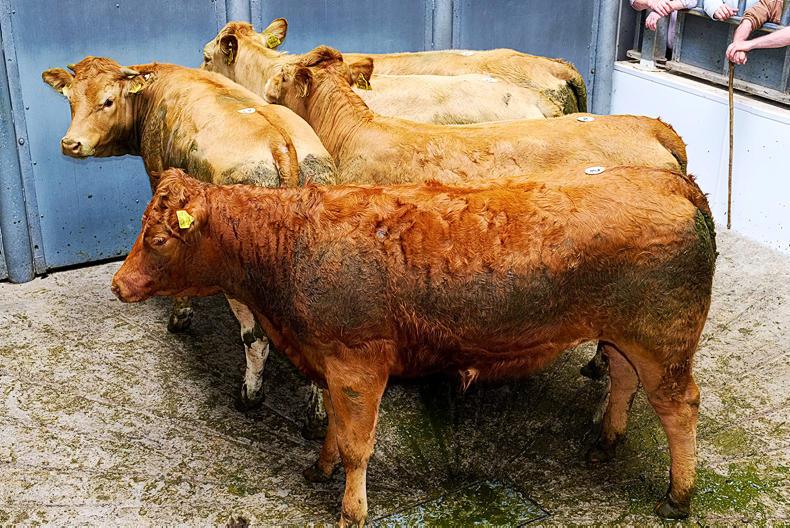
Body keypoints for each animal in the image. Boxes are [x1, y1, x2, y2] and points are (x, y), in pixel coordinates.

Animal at [42, 57, 336, 428]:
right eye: (70, 99)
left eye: (107, 101)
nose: (71, 144)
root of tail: (280, 145)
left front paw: (179, 316)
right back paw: (316, 416)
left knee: (255, 339)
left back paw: (250, 396)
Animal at [112, 167, 716, 525]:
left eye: (158, 238)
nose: (118, 283)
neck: (293, 244)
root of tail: (674, 180)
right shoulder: (329, 362)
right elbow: (335, 430)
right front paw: (319, 467)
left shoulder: (358, 363)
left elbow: (358, 445)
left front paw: (351, 510)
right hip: (624, 337)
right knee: (622, 379)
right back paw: (606, 442)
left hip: (664, 345)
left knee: (680, 409)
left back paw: (678, 496)